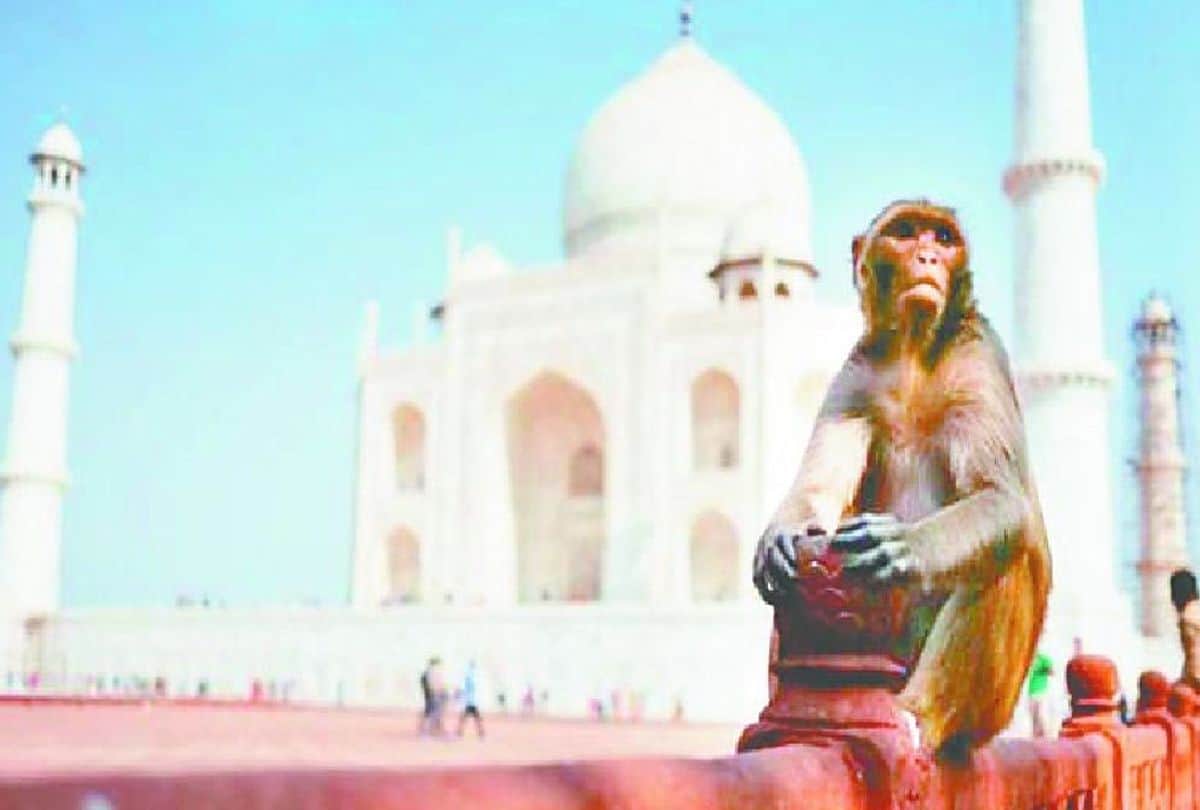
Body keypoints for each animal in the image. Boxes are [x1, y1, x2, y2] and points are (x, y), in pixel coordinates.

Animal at [752, 199, 1051, 757]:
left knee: (1004, 556)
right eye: (907, 232)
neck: (914, 349)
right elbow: (817, 492)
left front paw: (905, 544)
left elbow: (1001, 499)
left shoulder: (980, 350)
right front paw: (781, 533)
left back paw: (919, 719)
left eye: (943, 238)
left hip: (988, 707)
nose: (929, 257)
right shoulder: (857, 370)